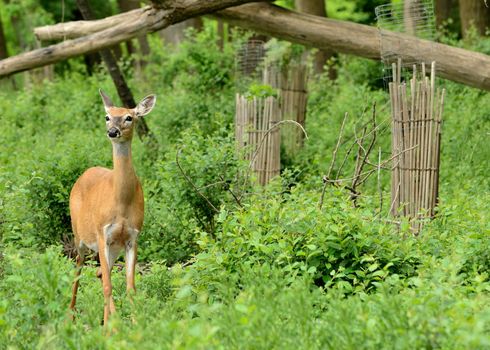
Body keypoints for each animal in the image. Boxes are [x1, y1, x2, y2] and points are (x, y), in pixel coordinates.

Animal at [69, 89, 156, 324]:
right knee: (78, 270)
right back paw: (70, 317)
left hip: (112, 247)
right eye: (107, 116)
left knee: (99, 273)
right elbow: (108, 287)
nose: (112, 132)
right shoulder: (102, 232)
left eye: (129, 117)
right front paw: (114, 328)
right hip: (80, 236)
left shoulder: (132, 236)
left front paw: (136, 324)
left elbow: (130, 288)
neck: (122, 204)